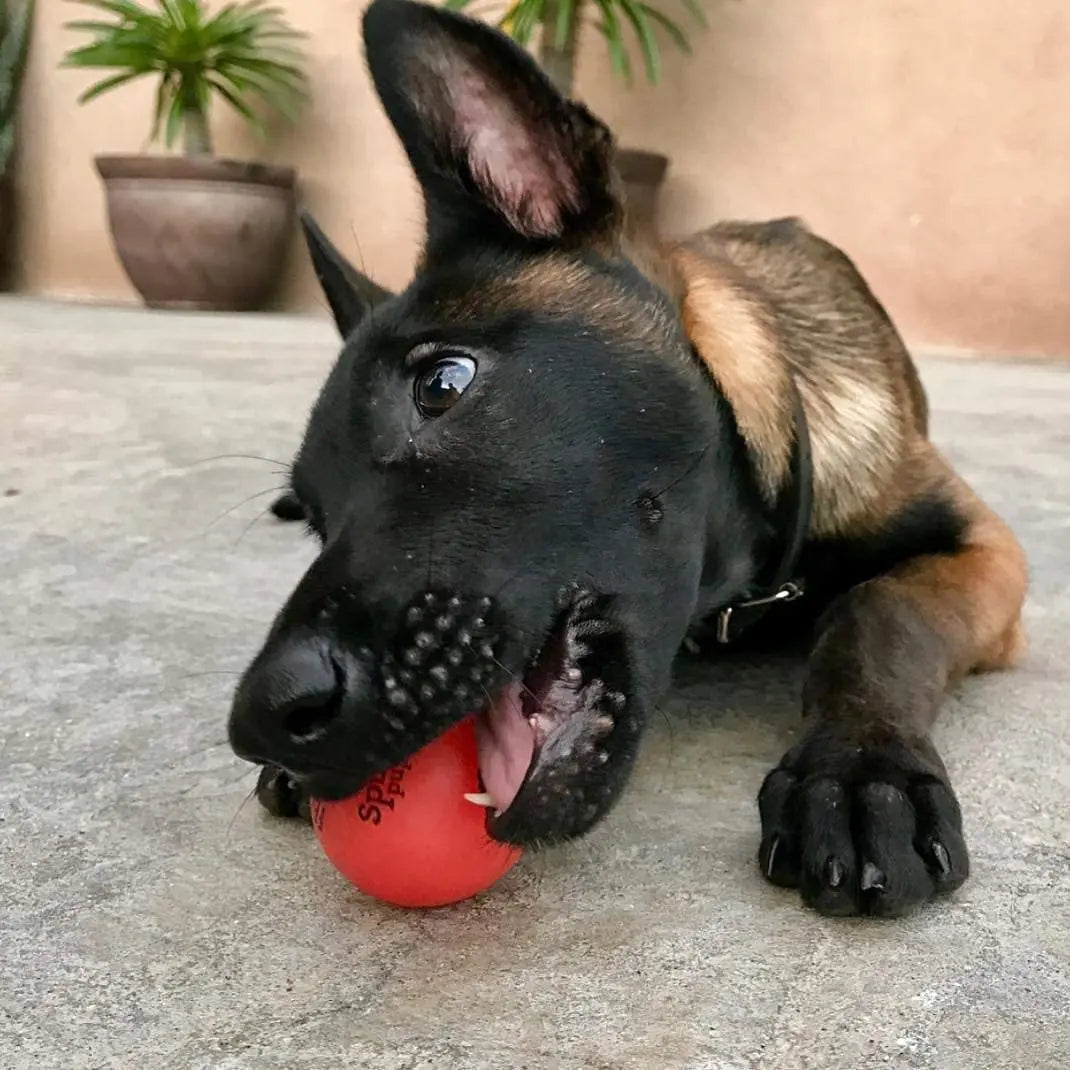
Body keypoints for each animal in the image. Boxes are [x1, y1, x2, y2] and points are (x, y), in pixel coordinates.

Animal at [227, 0, 1027, 917]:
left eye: (442, 383)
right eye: (318, 520)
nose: (259, 720)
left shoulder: (983, 548)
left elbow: (878, 615)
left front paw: (861, 771)